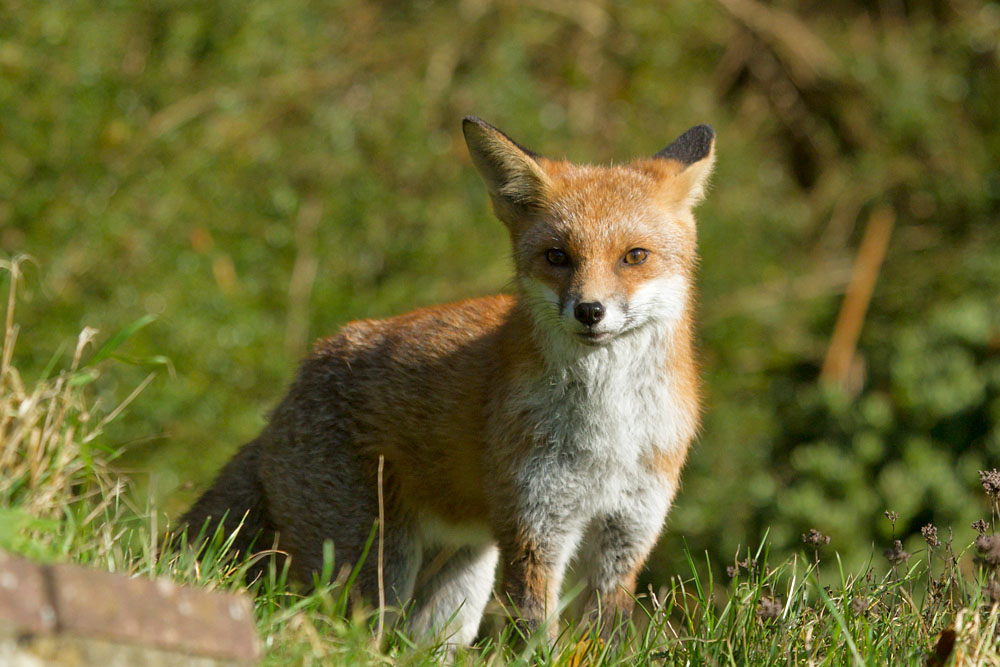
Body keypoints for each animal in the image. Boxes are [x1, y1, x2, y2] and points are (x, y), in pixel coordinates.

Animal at [180, 116, 715, 646]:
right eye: (557, 256)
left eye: (635, 256)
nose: (589, 311)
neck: (611, 431)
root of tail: (292, 389)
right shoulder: (535, 527)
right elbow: (534, 635)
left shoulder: (626, 534)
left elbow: (600, 636)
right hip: (375, 568)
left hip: (457, 590)